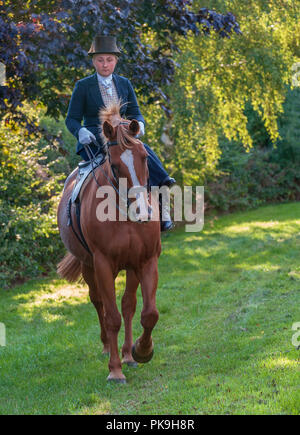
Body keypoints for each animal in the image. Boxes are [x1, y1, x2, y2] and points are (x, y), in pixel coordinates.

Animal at [55, 103, 161, 384]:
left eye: (144, 157)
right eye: (114, 165)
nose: (143, 211)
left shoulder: (145, 261)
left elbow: (146, 312)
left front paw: (140, 351)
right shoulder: (102, 264)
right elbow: (112, 317)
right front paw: (115, 370)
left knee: (126, 306)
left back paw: (128, 354)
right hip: (89, 267)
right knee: (99, 303)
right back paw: (106, 347)